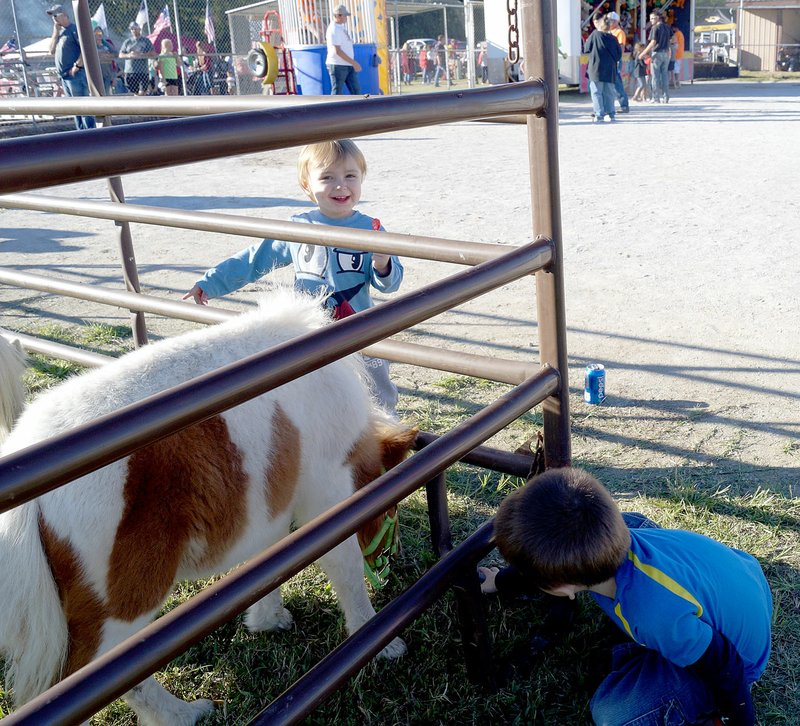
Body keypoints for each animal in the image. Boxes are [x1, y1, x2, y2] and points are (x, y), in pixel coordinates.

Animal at [0, 294, 416, 726]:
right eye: (391, 508)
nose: (395, 561)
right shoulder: (328, 495)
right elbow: (344, 567)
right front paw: (381, 642)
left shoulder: (270, 502)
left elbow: (268, 561)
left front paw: (268, 621)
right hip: (120, 604)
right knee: (107, 677)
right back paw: (187, 714)